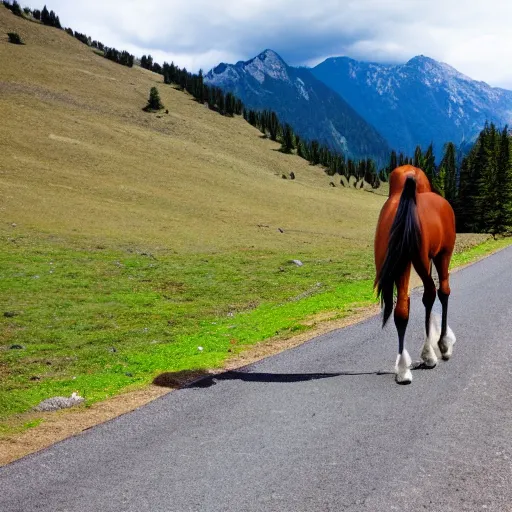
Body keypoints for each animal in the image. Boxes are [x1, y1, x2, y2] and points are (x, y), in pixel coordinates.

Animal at [376, 166, 456, 382]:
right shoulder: (435, 255)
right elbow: (437, 294)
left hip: (406, 262)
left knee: (405, 307)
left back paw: (406, 366)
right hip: (438, 256)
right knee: (439, 291)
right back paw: (438, 347)